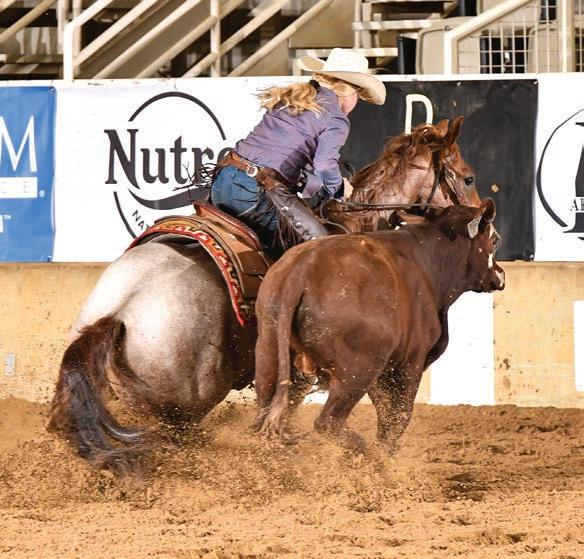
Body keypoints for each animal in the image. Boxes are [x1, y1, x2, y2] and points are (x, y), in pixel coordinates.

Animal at [253, 199, 504, 452]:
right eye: (494, 240)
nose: (500, 275)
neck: (427, 261)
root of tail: (299, 272)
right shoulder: (409, 365)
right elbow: (399, 418)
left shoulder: (384, 372)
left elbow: (385, 418)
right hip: (356, 372)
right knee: (328, 421)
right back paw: (365, 454)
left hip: (269, 356)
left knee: (263, 414)